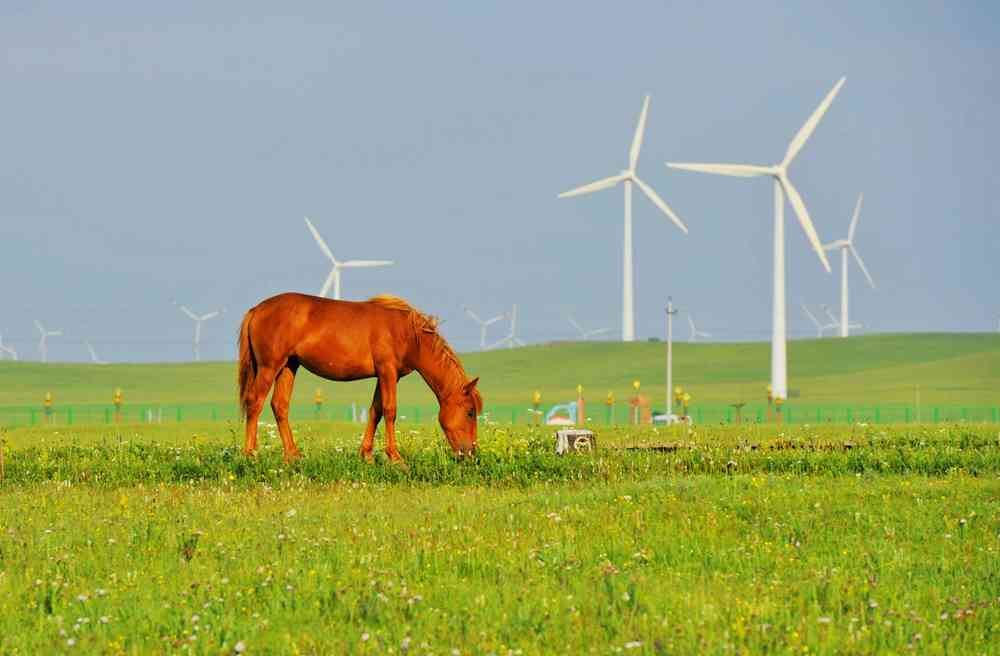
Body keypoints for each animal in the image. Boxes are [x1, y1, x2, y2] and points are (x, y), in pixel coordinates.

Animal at [238, 292, 480, 462]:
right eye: (470, 412)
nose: (470, 454)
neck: (408, 334)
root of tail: (257, 309)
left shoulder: (386, 376)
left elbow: (375, 411)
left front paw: (367, 455)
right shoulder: (387, 372)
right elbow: (390, 411)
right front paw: (396, 458)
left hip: (289, 366)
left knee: (279, 405)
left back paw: (293, 455)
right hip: (269, 367)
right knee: (255, 402)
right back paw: (251, 454)